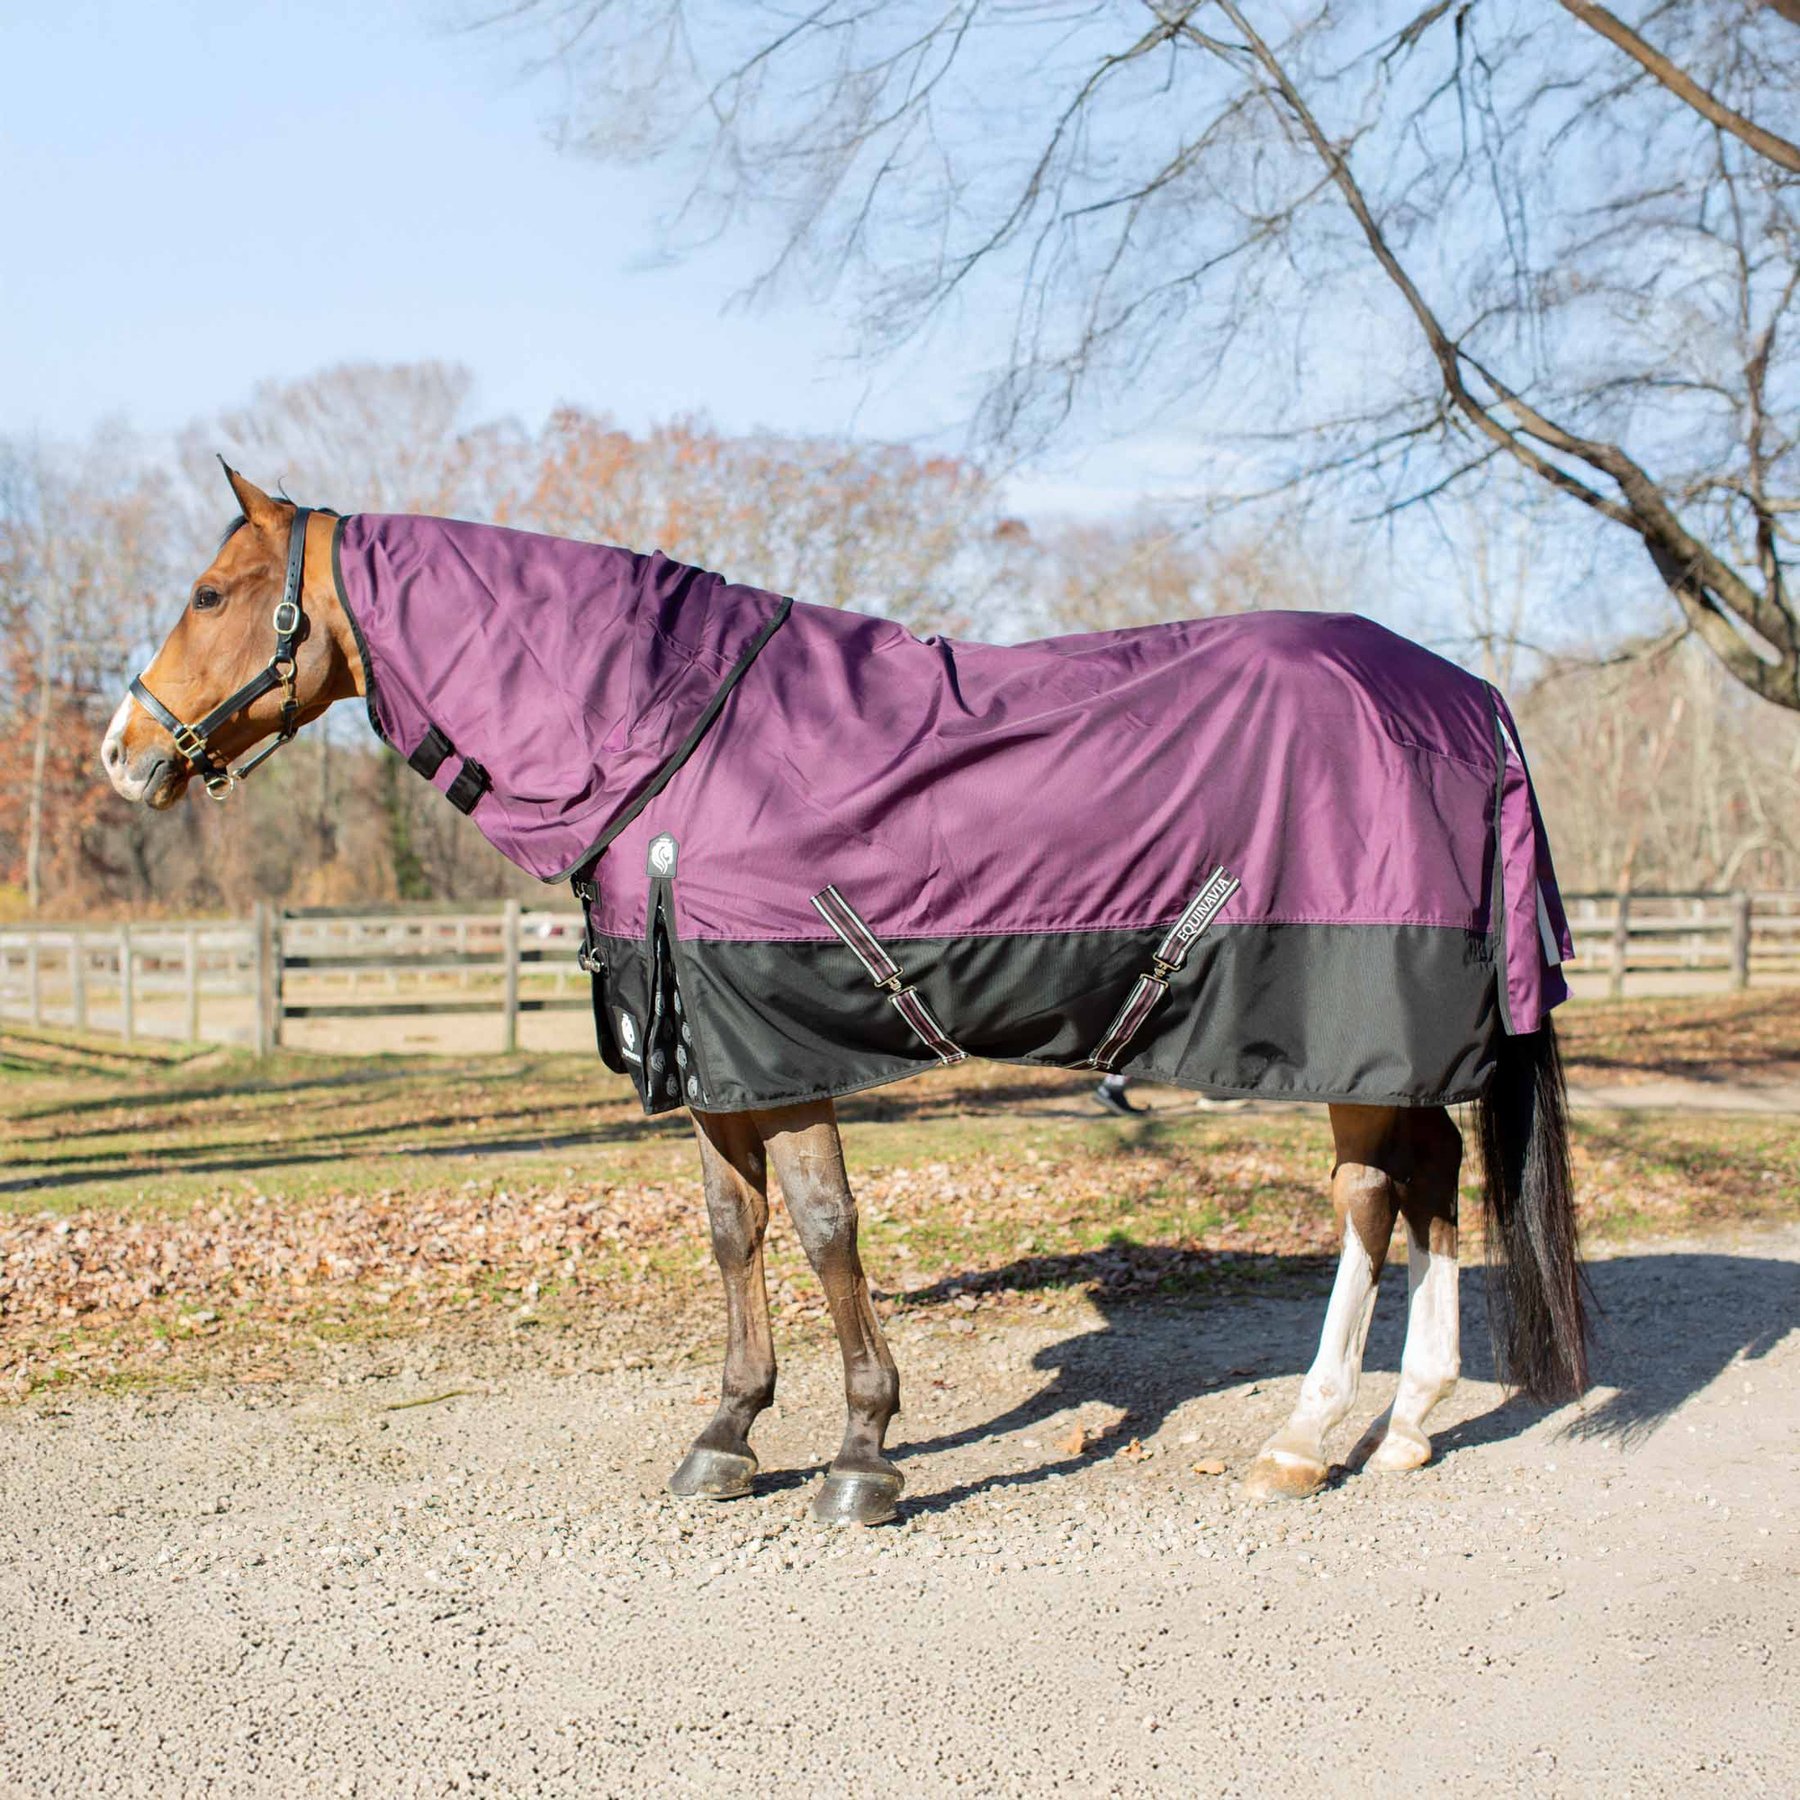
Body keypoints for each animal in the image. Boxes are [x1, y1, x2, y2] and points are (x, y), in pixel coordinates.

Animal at [102, 466, 1588, 1523]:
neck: (676, 745)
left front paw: (864, 1455)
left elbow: (823, 1231)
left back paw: (1307, 1436)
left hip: (1354, 1021)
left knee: (1372, 1198)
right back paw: (1406, 1430)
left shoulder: (786, 1045)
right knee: (1435, 1182)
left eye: (211, 591)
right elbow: (733, 1233)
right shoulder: (714, 1059)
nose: (123, 754)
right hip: (1391, 1047)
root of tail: (1470, 699)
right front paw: (726, 1436)